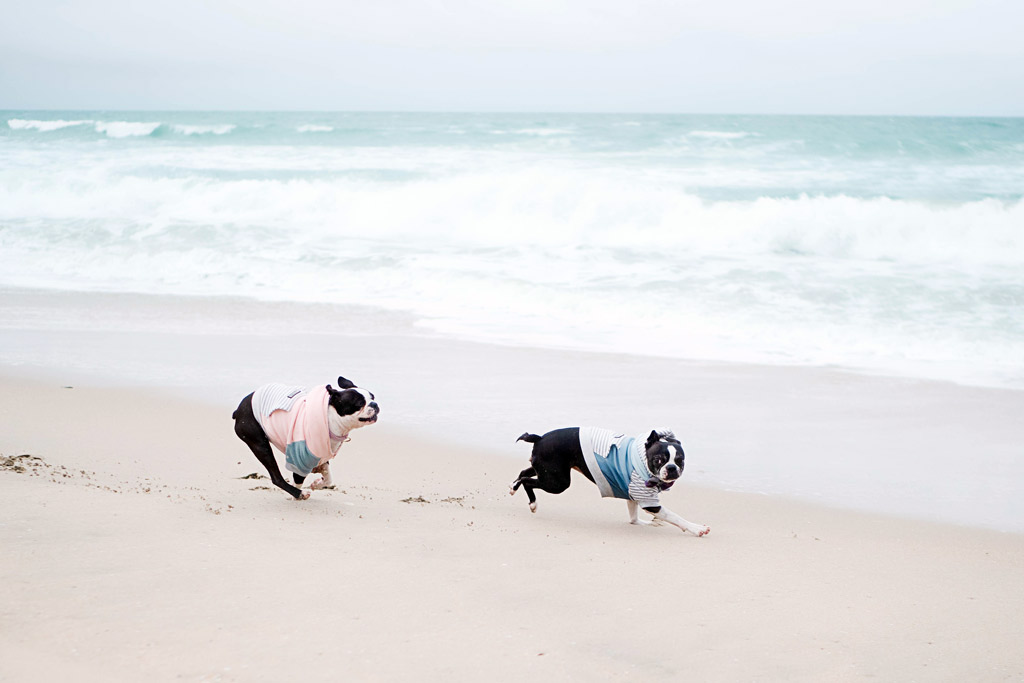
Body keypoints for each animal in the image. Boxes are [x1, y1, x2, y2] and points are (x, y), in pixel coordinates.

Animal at [230, 376, 378, 499]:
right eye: (359, 403)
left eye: (373, 397)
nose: (375, 404)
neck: (330, 420)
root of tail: (238, 409)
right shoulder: (299, 461)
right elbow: (298, 480)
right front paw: (296, 496)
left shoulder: (322, 456)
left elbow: (329, 478)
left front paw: (317, 484)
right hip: (259, 444)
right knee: (276, 477)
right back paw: (299, 494)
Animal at [509, 428, 708, 532]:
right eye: (659, 460)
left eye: (680, 460)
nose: (672, 468)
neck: (643, 459)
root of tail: (540, 437)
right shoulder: (648, 501)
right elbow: (674, 516)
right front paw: (696, 528)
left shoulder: (633, 495)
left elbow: (633, 517)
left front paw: (642, 523)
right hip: (558, 482)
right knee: (527, 480)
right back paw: (533, 504)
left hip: (547, 470)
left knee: (524, 472)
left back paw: (513, 486)